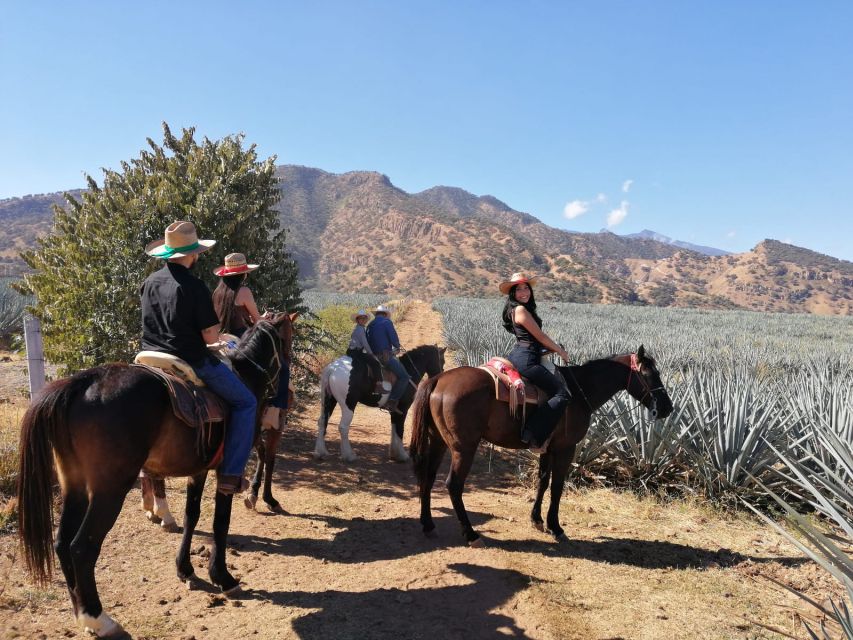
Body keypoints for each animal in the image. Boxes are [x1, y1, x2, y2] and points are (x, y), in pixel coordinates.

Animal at [16, 312, 292, 636]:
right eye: (286, 340)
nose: (283, 394)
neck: (246, 375)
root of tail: (81, 383)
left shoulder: (198, 470)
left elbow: (192, 515)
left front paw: (185, 570)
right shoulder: (226, 468)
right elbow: (220, 521)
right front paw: (222, 577)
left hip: (75, 486)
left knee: (61, 543)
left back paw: (82, 615)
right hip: (109, 491)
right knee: (82, 547)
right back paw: (99, 618)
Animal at [408, 344, 672, 544]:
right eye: (650, 375)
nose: (667, 408)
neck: (579, 391)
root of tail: (438, 380)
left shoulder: (547, 448)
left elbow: (543, 482)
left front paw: (536, 520)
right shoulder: (566, 448)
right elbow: (557, 487)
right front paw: (556, 527)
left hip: (438, 441)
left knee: (427, 477)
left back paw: (428, 524)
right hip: (463, 448)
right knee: (453, 485)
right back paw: (471, 534)